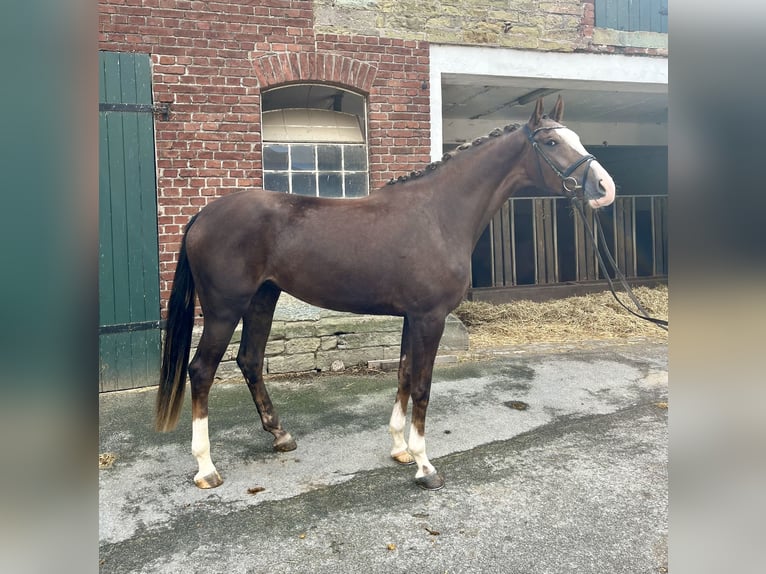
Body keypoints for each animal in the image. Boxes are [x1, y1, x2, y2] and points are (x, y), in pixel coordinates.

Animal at [156, 98, 616, 490]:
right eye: (552, 142)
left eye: (576, 137)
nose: (604, 187)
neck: (438, 214)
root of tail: (203, 215)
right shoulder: (430, 317)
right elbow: (423, 386)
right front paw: (425, 466)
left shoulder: (413, 317)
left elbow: (404, 375)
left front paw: (399, 449)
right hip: (223, 309)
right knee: (201, 371)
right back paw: (206, 469)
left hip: (262, 300)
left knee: (249, 361)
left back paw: (281, 436)